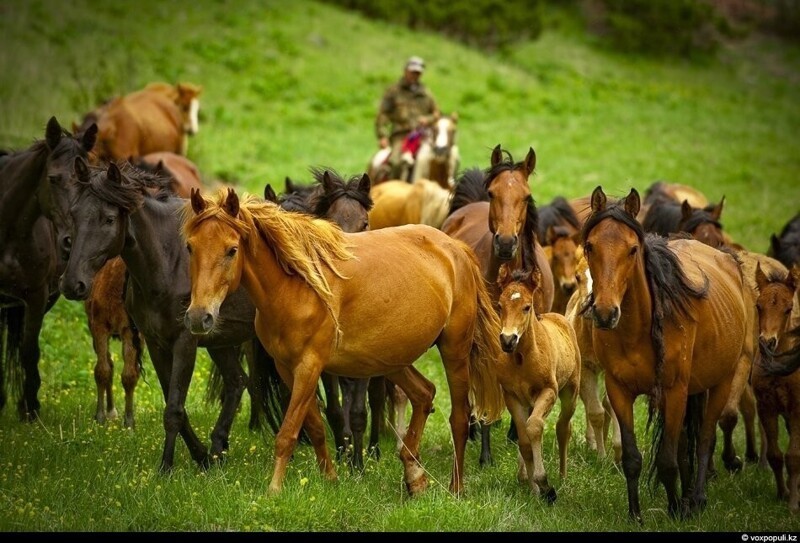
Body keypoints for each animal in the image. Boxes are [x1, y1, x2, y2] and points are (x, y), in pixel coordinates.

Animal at [184, 187, 504, 498]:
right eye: (190, 247)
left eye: (232, 250)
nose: (199, 317)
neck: (296, 286)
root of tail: (456, 248)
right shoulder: (288, 368)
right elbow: (314, 427)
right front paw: (331, 479)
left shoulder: (309, 366)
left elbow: (288, 432)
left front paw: (274, 491)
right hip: (391, 359)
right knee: (424, 394)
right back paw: (414, 477)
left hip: (454, 351)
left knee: (459, 418)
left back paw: (456, 487)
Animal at [496, 266, 580, 504]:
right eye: (499, 305)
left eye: (527, 307)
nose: (508, 340)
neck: (521, 359)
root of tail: (558, 316)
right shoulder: (512, 397)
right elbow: (524, 439)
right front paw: (534, 488)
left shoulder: (548, 391)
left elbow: (534, 427)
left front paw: (544, 484)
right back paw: (524, 475)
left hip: (571, 392)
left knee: (563, 427)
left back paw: (562, 476)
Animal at [580, 187, 752, 524]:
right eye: (590, 246)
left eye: (632, 249)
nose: (605, 313)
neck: (636, 330)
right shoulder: (619, 391)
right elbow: (633, 458)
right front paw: (636, 515)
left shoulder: (674, 391)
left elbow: (668, 459)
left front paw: (676, 510)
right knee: (687, 444)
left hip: (720, 382)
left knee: (704, 440)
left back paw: (695, 498)